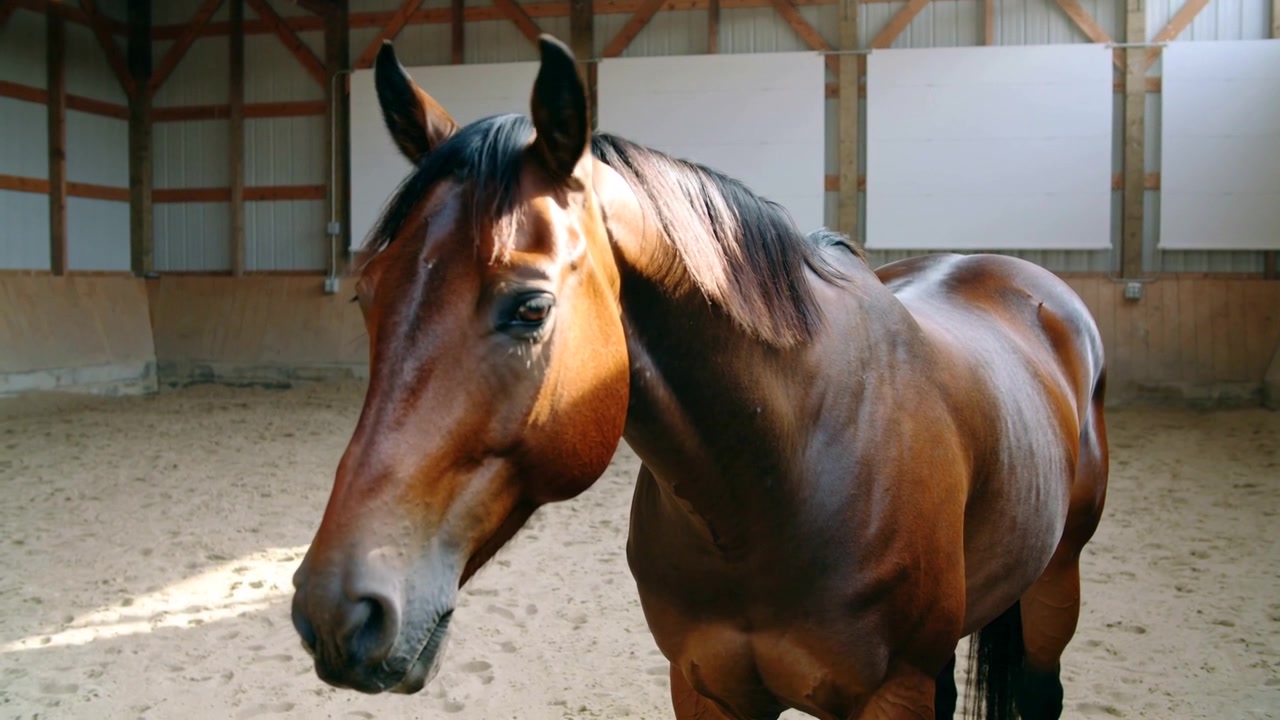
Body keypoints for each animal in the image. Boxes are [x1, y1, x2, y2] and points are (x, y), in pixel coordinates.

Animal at [290, 35, 1109, 720]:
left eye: (530, 307)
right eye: (367, 297)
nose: (337, 612)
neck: (780, 482)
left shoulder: (890, 695)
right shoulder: (705, 687)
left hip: (1056, 584)